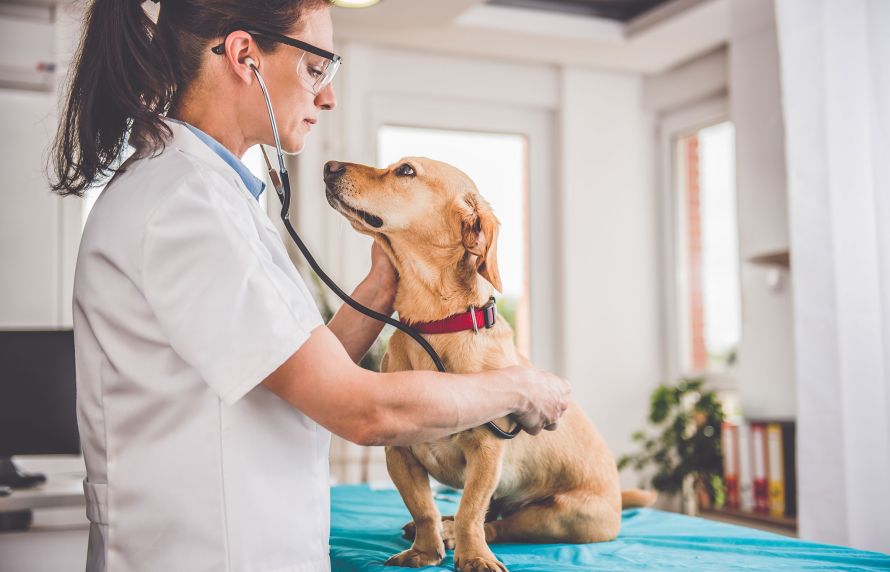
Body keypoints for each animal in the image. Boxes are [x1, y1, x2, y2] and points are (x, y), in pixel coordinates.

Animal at [322, 158, 656, 572]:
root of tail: (617, 496)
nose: (328, 166)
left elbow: (471, 511)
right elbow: (423, 508)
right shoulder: (399, 454)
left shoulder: (487, 452)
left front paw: (473, 556)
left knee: (499, 523)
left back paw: (459, 534)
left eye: (406, 171)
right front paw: (424, 550)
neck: (435, 326)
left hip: (563, 516)